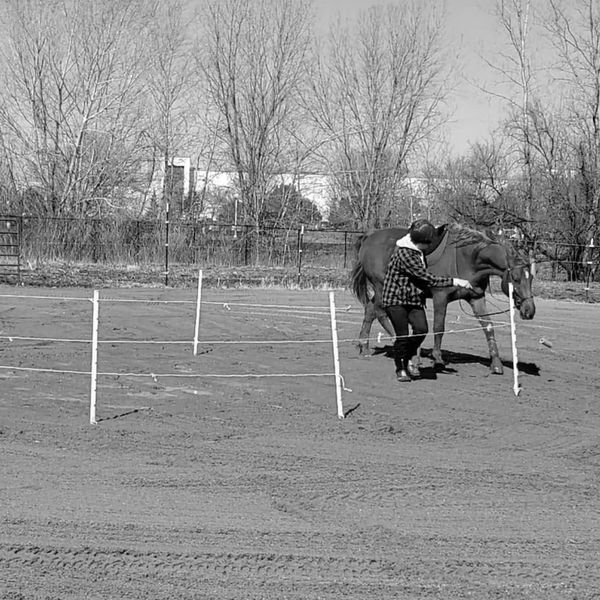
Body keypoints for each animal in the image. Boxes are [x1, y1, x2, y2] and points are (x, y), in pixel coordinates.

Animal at [350, 223, 536, 372]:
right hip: (381, 286)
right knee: (380, 313)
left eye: (531, 278)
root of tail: (370, 235)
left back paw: (364, 347)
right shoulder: (441, 297)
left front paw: (496, 364)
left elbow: (488, 327)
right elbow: (439, 327)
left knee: (370, 311)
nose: (529, 311)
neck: (467, 258)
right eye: (516, 278)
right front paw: (438, 358)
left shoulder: (477, 298)